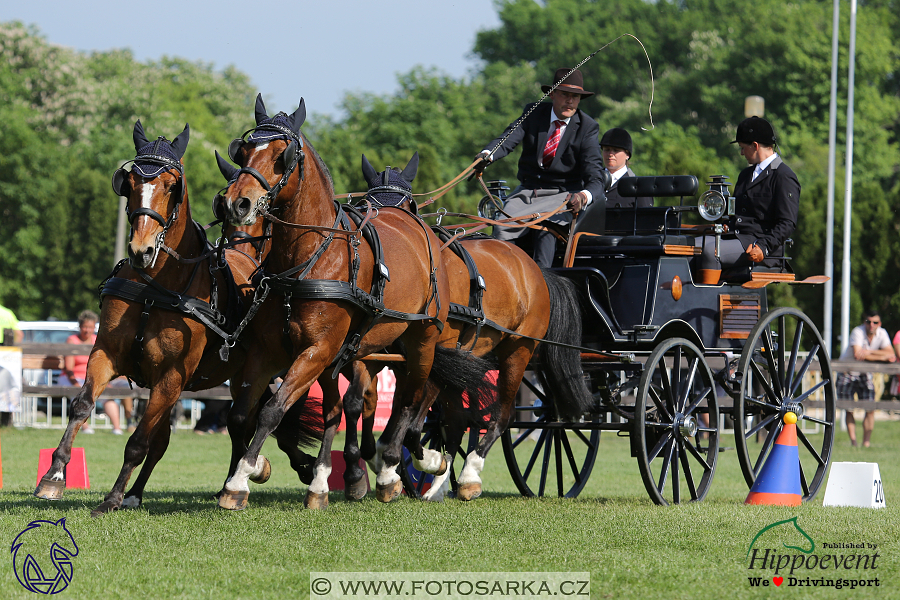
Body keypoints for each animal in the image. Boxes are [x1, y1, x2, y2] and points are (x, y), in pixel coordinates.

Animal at [35, 122, 324, 516]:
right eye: (129, 183)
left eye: (173, 186)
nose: (141, 250)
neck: (155, 285)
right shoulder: (107, 353)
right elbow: (82, 407)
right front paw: (54, 475)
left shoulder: (171, 376)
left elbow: (139, 441)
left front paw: (111, 498)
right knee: (213, 429)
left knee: (247, 421)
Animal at [215, 96, 492, 508]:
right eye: (244, 151)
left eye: (283, 155)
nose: (238, 203)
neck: (307, 258)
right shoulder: (271, 351)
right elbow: (242, 415)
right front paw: (253, 475)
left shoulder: (317, 350)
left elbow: (273, 410)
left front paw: (239, 480)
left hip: (423, 340)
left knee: (412, 398)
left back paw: (398, 467)